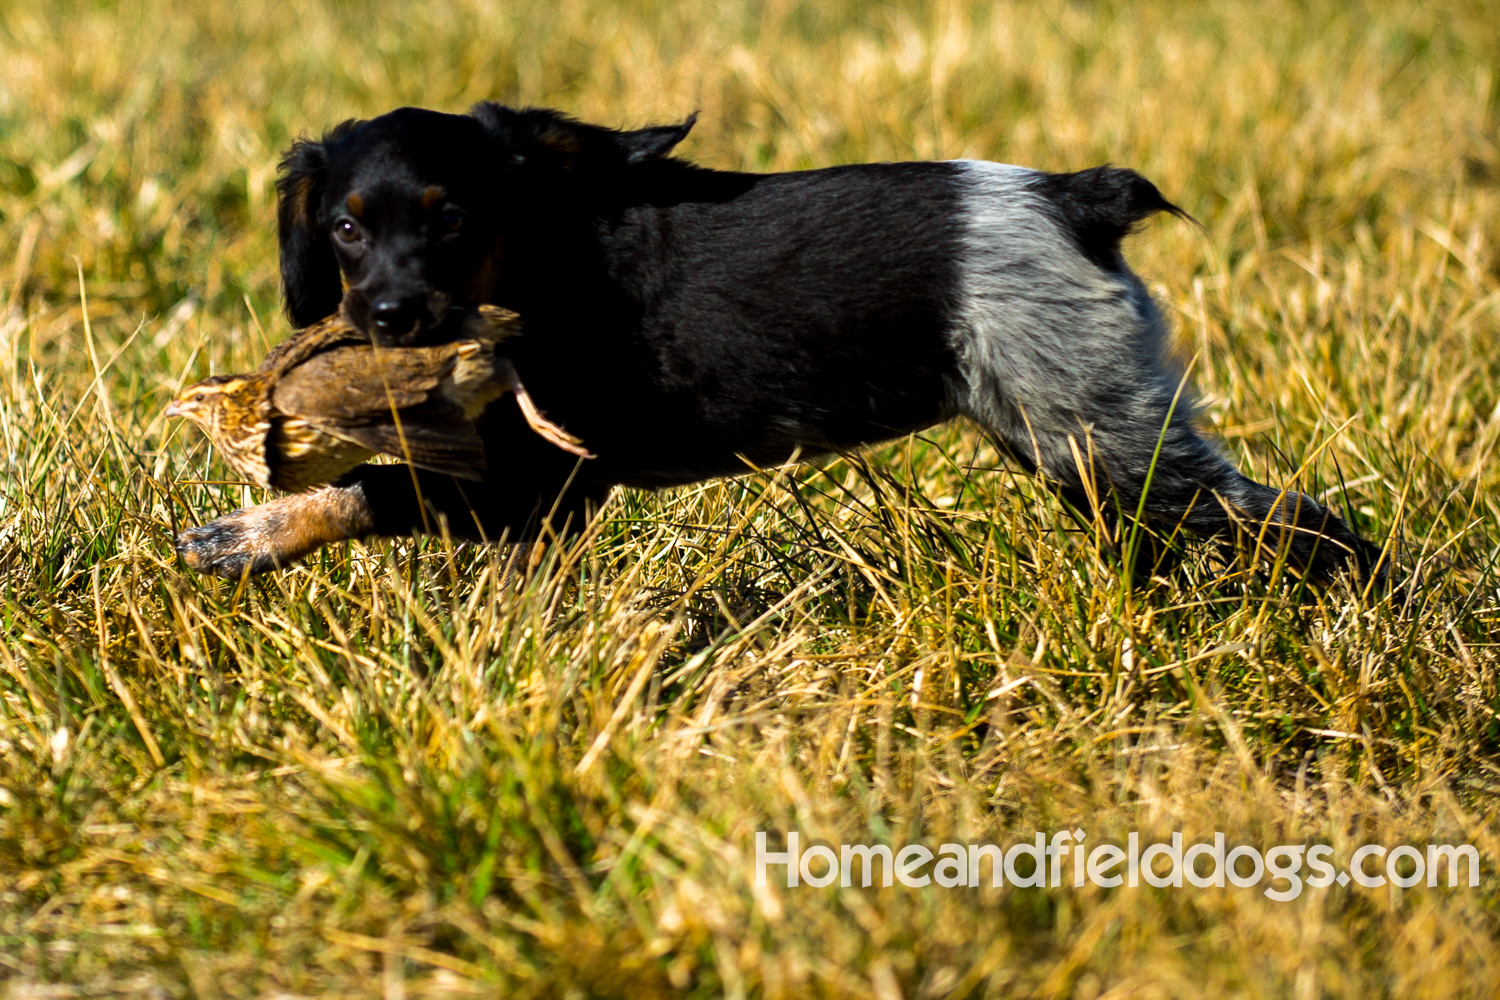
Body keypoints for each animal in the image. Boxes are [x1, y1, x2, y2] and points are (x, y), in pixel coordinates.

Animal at [175, 105, 1380, 581]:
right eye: (344, 229)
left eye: (454, 217)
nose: (388, 321)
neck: (539, 254)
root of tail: (1069, 197)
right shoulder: (529, 499)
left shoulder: (539, 481)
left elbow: (370, 490)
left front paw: (247, 533)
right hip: (1076, 433)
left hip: (1107, 437)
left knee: (1302, 523)